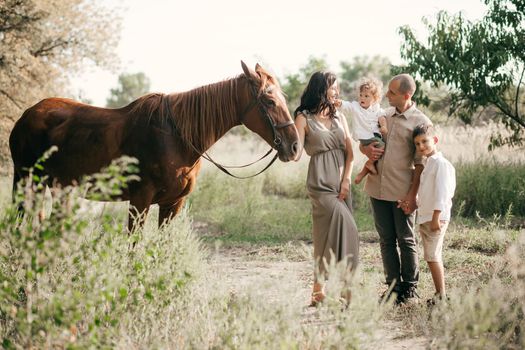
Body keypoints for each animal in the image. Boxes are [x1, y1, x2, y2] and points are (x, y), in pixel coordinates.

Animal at [9, 61, 298, 231]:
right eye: (269, 101)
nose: (294, 146)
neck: (176, 137)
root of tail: (27, 114)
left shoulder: (173, 204)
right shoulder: (140, 201)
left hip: (57, 187)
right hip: (26, 181)